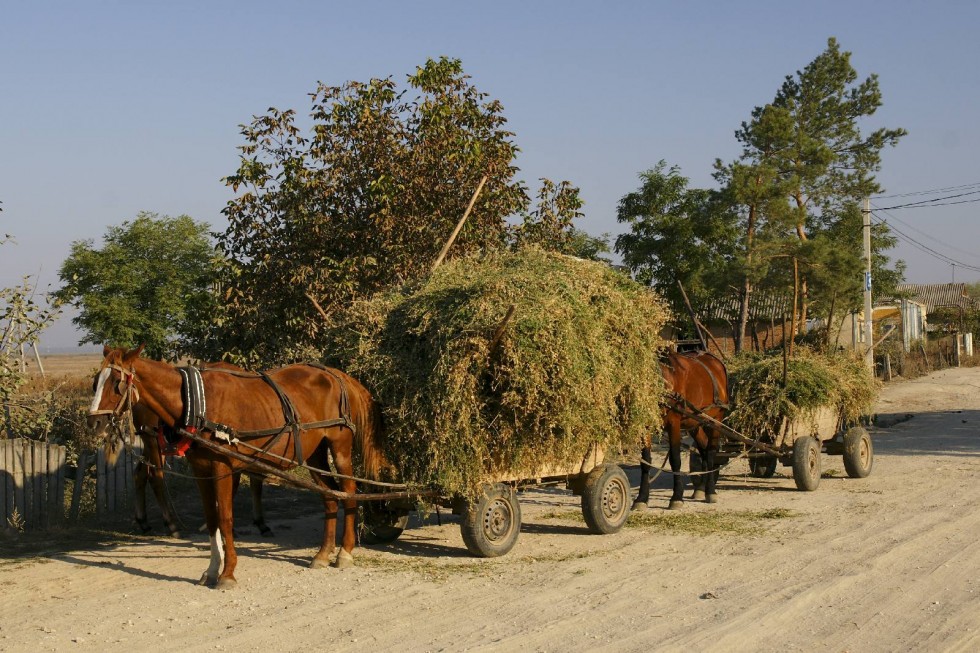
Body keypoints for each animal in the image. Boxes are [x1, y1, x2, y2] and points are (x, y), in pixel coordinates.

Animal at [87, 344, 386, 588]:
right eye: (95, 383)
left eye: (116, 383)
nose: (94, 422)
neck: (196, 402)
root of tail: (334, 374)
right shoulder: (201, 469)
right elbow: (212, 519)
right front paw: (211, 570)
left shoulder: (222, 467)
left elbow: (226, 518)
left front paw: (228, 573)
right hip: (314, 454)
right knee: (329, 496)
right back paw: (323, 554)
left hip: (340, 447)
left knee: (349, 492)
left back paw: (345, 552)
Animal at [636, 352, 728, 510]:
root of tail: (715, 360)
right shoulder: (645, 424)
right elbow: (646, 461)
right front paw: (641, 498)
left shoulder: (674, 423)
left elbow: (675, 460)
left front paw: (676, 497)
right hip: (695, 423)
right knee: (703, 449)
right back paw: (701, 488)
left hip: (716, 420)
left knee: (710, 452)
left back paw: (710, 490)